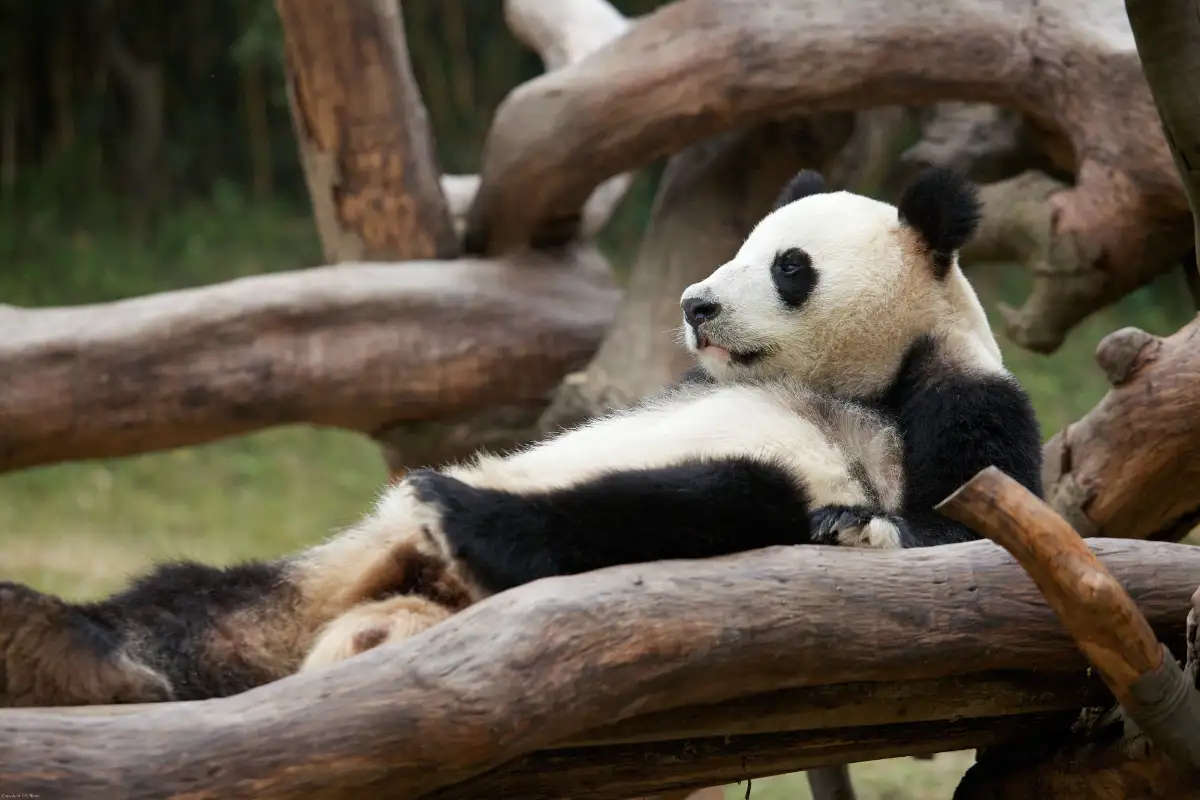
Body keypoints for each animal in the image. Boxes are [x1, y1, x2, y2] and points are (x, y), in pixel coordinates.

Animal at [0, 166, 1043, 706]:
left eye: (790, 267)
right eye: (740, 245)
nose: (697, 304)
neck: (856, 376)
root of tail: (403, 608)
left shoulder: (954, 400)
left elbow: (961, 529)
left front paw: (866, 526)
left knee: (710, 498)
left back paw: (468, 516)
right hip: (299, 591)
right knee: (194, 607)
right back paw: (62, 649)